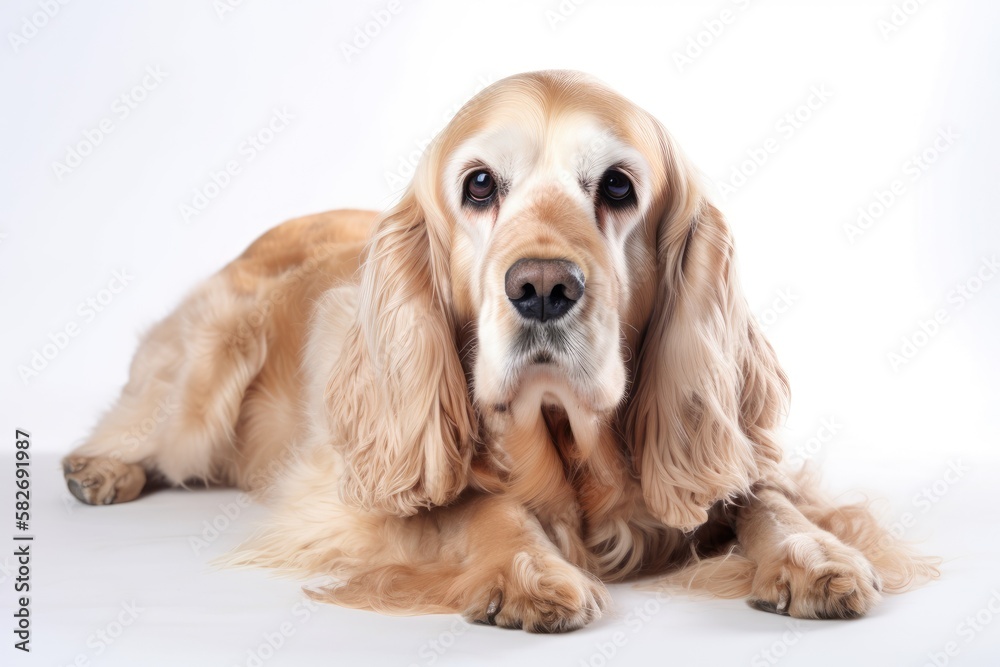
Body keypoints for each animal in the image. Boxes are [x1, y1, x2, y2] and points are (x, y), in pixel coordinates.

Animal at [62, 70, 936, 636]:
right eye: (480, 184)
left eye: (618, 186)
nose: (544, 287)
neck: (574, 453)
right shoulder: (364, 491)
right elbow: (477, 504)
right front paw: (529, 570)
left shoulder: (719, 449)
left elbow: (766, 497)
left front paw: (813, 555)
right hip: (202, 383)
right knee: (148, 418)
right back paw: (101, 466)